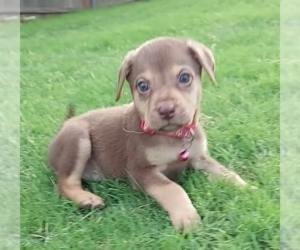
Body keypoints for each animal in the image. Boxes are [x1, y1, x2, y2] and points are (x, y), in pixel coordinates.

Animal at [48, 36, 247, 231]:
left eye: (184, 77)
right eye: (142, 86)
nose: (166, 110)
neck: (173, 136)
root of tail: (65, 123)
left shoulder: (200, 158)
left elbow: (227, 174)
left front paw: (248, 188)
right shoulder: (139, 171)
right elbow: (172, 188)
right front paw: (186, 217)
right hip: (78, 138)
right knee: (64, 184)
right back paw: (87, 200)